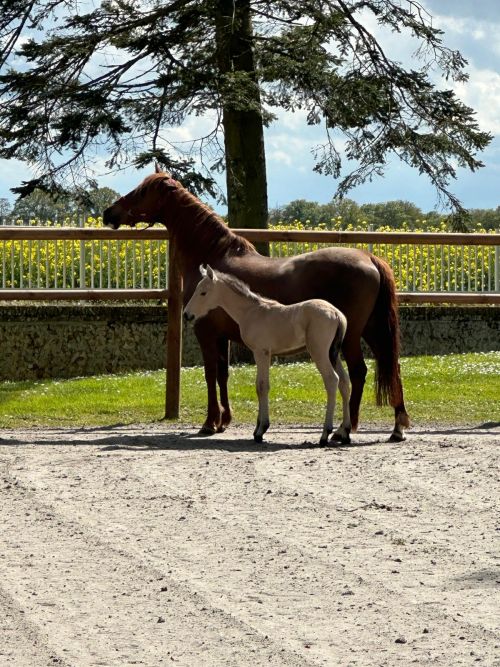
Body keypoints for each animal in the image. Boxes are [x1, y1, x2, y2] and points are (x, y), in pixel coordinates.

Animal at [184, 264, 352, 445]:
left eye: (203, 292)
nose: (187, 314)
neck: (251, 311)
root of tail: (336, 313)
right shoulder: (261, 354)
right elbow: (259, 385)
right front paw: (257, 429)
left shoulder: (261, 352)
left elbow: (262, 386)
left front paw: (261, 430)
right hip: (333, 354)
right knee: (344, 382)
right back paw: (345, 433)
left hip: (319, 352)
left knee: (332, 380)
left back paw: (325, 434)